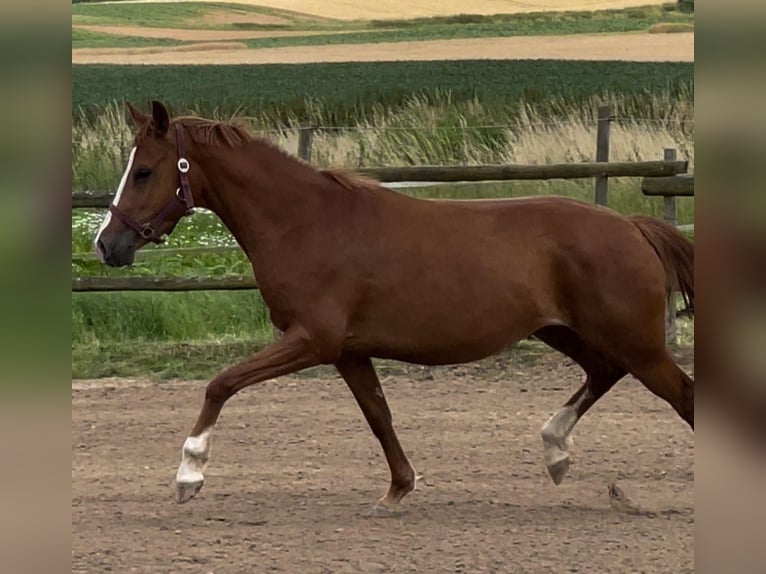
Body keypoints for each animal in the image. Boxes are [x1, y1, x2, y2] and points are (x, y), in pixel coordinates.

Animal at [94, 101, 694, 512]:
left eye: (144, 171)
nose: (106, 244)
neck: (306, 223)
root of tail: (633, 227)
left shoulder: (311, 340)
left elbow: (221, 383)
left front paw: (189, 475)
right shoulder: (347, 351)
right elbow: (378, 414)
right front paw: (398, 490)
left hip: (633, 341)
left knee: (681, 395)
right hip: (567, 331)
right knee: (603, 372)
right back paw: (555, 452)